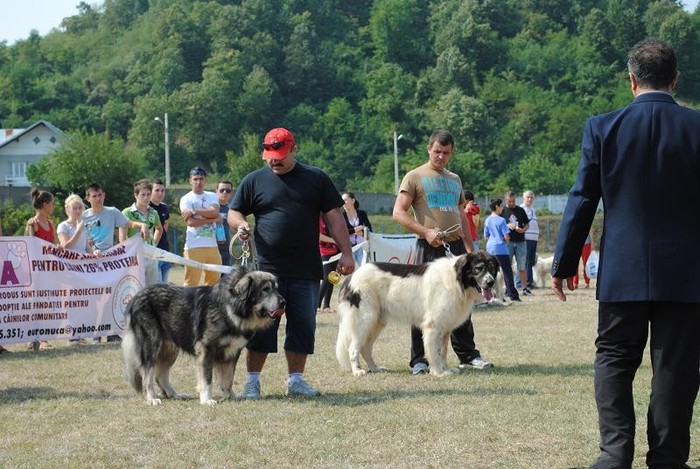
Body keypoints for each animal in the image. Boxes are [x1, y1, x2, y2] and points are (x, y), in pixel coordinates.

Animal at [121, 266, 286, 404]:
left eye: (277, 289)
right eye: (265, 289)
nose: (283, 302)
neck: (230, 307)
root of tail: (135, 298)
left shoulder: (232, 352)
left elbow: (228, 379)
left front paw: (230, 396)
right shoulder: (206, 349)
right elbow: (207, 379)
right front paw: (207, 399)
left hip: (170, 348)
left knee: (160, 376)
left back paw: (175, 395)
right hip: (151, 345)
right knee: (147, 376)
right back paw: (152, 398)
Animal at [338, 250, 498, 374]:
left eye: (492, 269)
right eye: (479, 268)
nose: (491, 282)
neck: (456, 280)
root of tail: (351, 276)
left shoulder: (444, 328)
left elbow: (443, 351)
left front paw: (446, 369)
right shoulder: (433, 326)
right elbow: (434, 352)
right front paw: (438, 372)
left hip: (377, 322)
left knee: (365, 348)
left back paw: (375, 368)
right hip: (365, 319)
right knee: (353, 348)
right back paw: (357, 371)